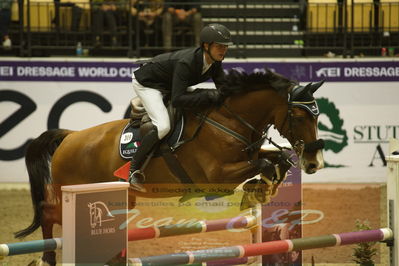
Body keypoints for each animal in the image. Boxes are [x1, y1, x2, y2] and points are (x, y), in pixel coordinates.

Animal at [15, 68, 326, 264]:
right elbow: (263, 162)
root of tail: (70, 137)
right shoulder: (216, 177)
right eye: (300, 116)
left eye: (317, 115)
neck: (229, 120)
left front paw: (261, 188)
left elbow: (279, 157)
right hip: (77, 191)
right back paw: (47, 258)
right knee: (48, 213)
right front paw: (259, 188)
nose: (314, 163)